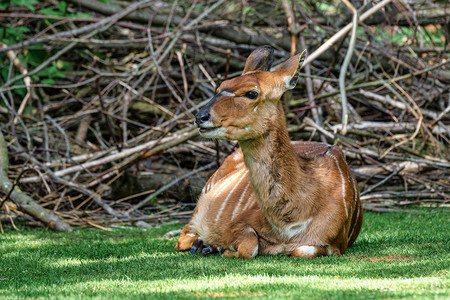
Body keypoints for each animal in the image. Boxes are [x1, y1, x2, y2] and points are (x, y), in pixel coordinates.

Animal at [175, 45, 362, 258]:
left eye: (251, 93)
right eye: (220, 87)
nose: (200, 117)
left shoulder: (335, 245)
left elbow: (301, 250)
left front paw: (219, 248)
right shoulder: (237, 224)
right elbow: (250, 247)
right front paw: (221, 248)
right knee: (184, 236)